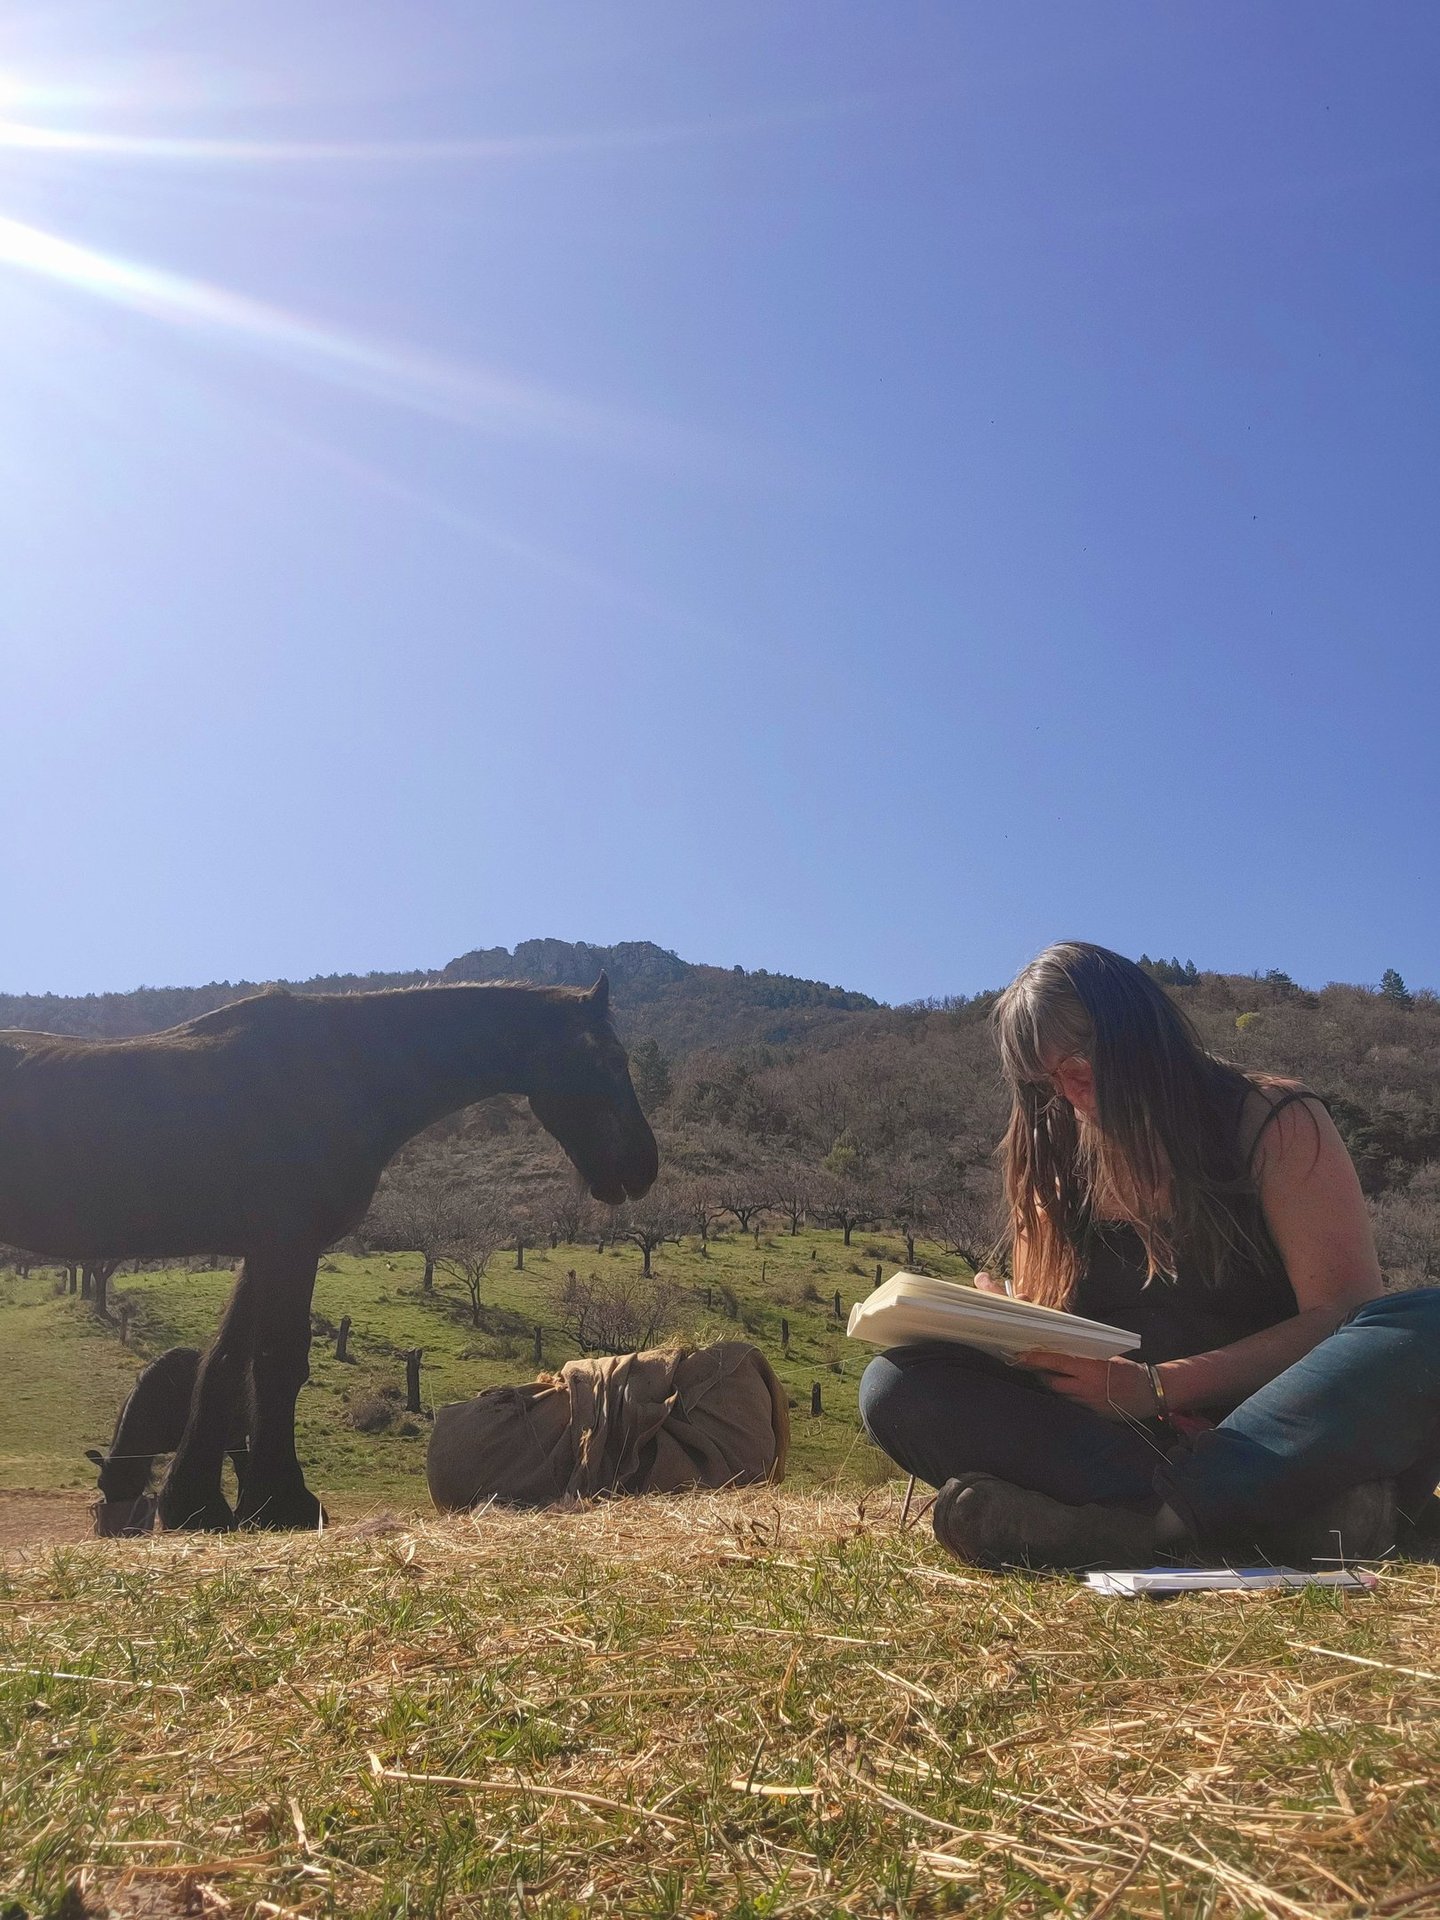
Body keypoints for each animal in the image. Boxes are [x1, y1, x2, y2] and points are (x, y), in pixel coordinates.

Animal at [1, 974, 657, 1530]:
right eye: (609, 1058)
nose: (643, 1167)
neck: (335, 1075)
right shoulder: (290, 1245)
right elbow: (277, 1362)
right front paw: (278, 1502)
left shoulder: (266, 1249)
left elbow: (227, 1362)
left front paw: (201, 1502)